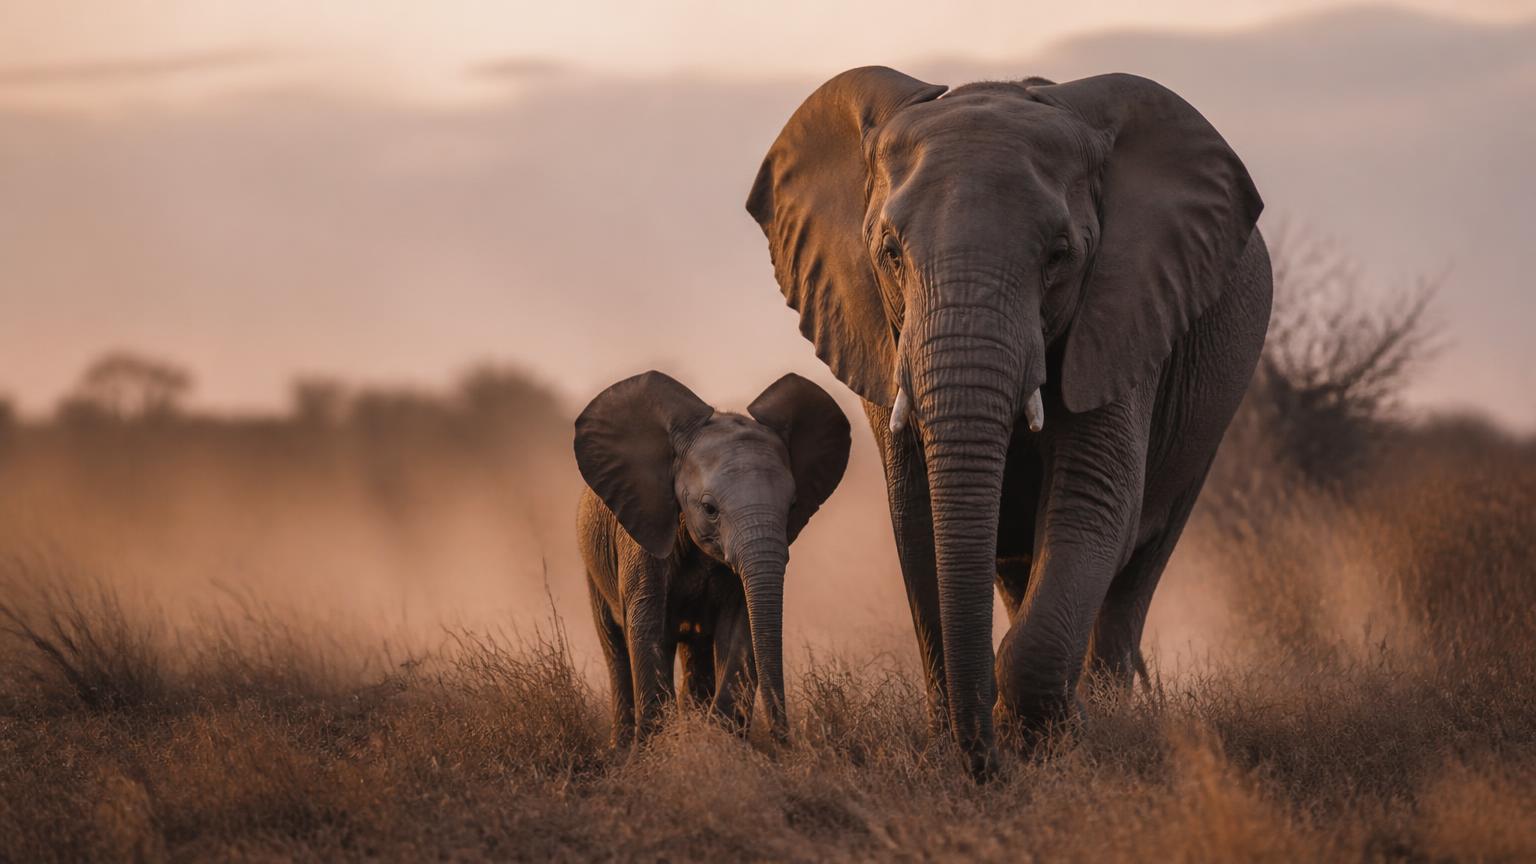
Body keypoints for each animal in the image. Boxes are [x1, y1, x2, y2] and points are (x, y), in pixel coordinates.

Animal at [574, 371, 851, 747]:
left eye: (792, 506)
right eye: (709, 509)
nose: (785, 741)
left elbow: (741, 628)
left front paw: (720, 743)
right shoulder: (642, 534)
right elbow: (645, 624)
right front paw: (658, 751)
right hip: (593, 566)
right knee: (615, 647)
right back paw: (623, 748)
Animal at [746, 68, 1270, 779]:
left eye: (1059, 255)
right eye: (889, 253)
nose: (985, 764)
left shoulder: (1126, 314)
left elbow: (1093, 502)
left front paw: (1057, 739)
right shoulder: (881, 334)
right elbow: (916, 516)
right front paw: (964, 744)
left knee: (1140, 562)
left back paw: (1107, 706)